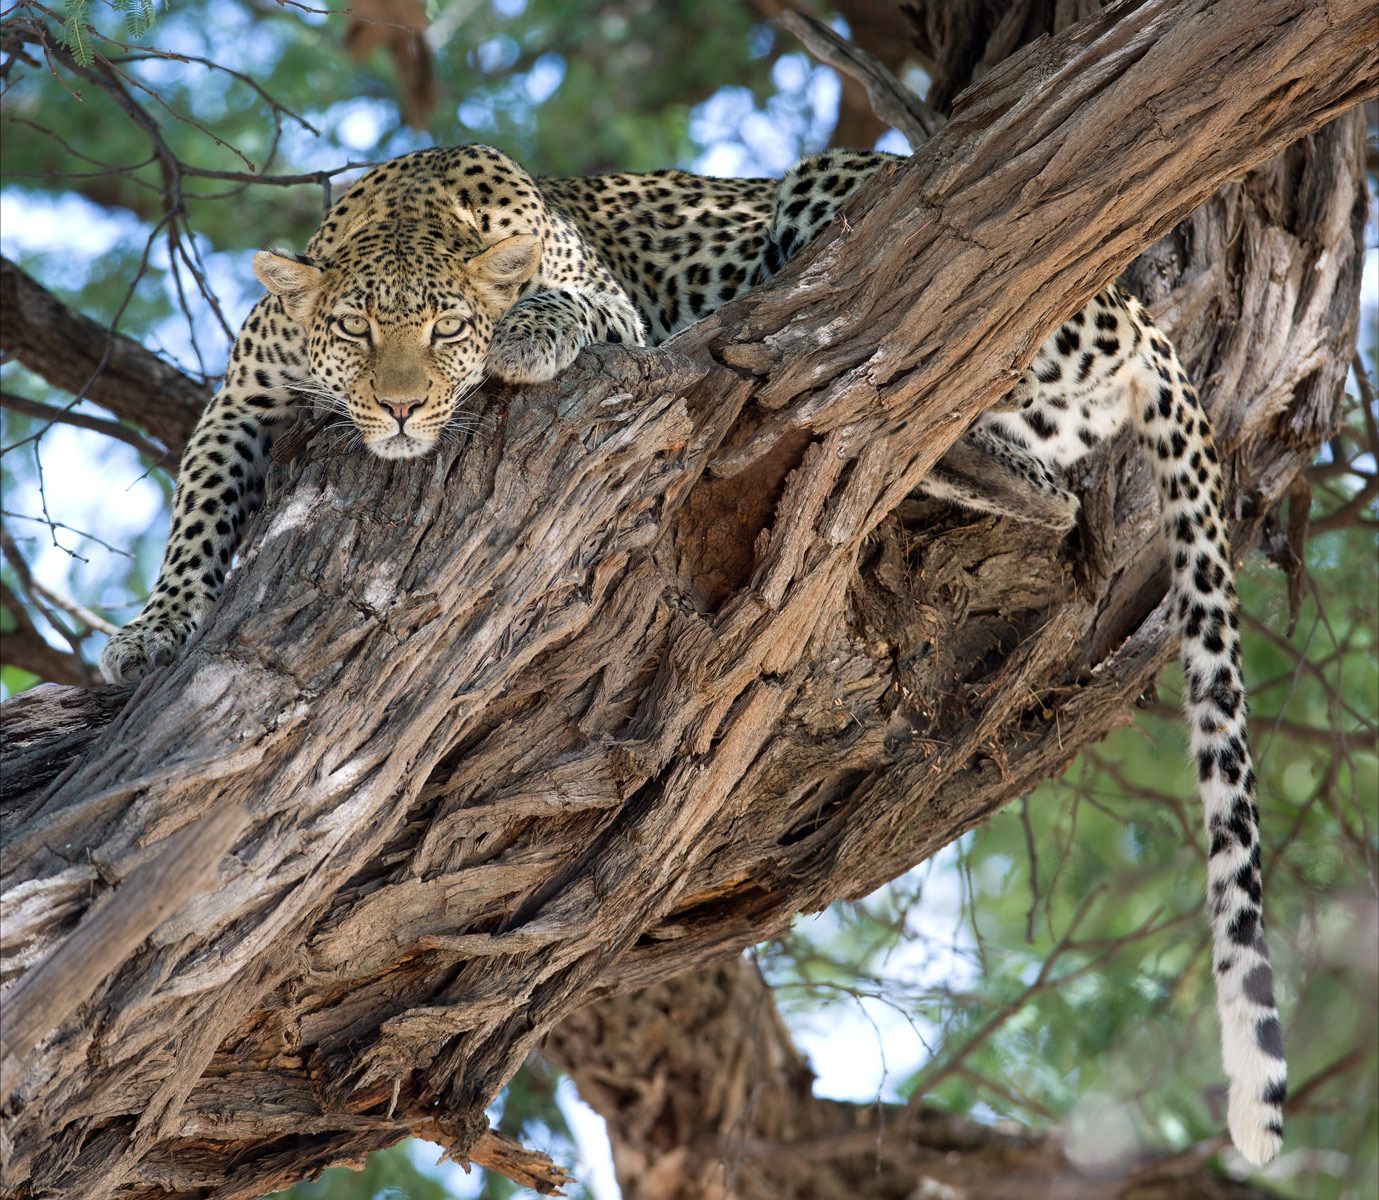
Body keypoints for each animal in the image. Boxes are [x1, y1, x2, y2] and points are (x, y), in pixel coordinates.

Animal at [98, 143, 1285, 1164]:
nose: (396, 407)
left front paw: (522, 335)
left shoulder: (611, 311)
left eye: (444, 331)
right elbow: (197, 513)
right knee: (1030, 473)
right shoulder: (242, 399)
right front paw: (158, 628)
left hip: (841, 196)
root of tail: (1132, 298)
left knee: (980, 422)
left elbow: (572, 305)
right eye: (352, 330)